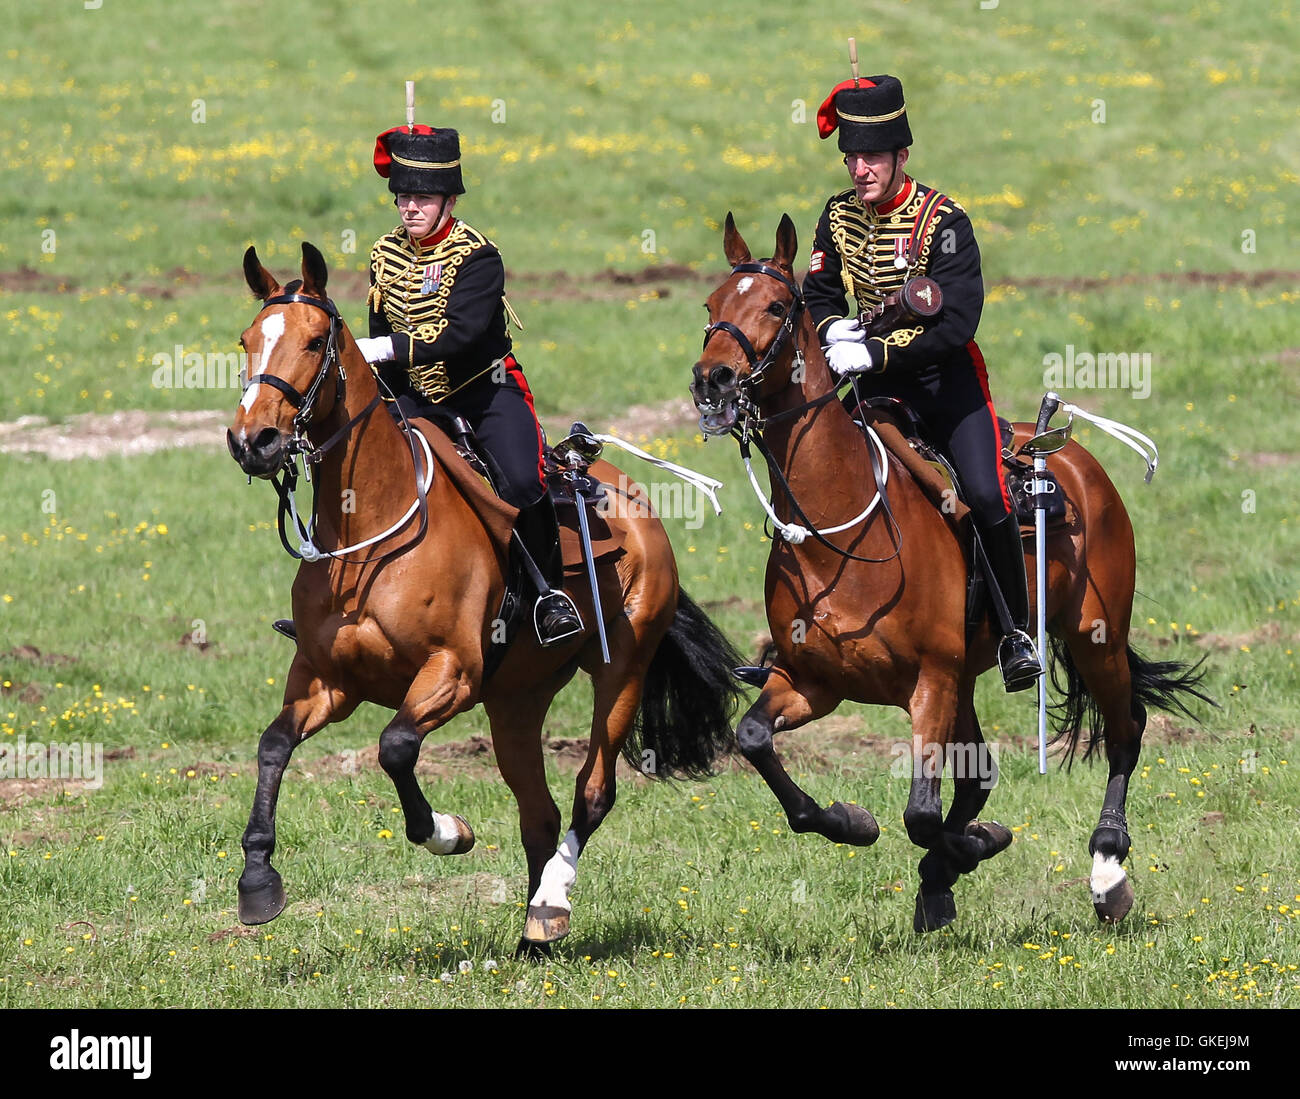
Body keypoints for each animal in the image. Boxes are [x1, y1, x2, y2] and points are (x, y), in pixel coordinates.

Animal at [226, 240, 743, 952]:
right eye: (247, 340)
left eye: (311, 341)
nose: (255, 441)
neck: (366, 538)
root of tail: (635, 502)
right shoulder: (327, 679)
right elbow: (273, 746)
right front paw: (257, 881)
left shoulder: (453, 672)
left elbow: (395, 747)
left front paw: (449, 833)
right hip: (515, 702)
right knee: (540, 813)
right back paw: (533, 939)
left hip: (620, 674)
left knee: (592, 793)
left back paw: (550, 903)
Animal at [691, 211, 1206, 926]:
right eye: (711, 305)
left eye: (772, 304)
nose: (710, 380)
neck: (843, 528)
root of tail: (1077, 461)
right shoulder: (811, 682)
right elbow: (754, 740)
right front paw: (854, 824)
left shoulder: (931, 681)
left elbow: (921, 814)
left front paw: (969, 848)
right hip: (972, 677)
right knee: (981, 773)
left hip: (1092, 636)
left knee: (1126, 731)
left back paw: (1107, 871)